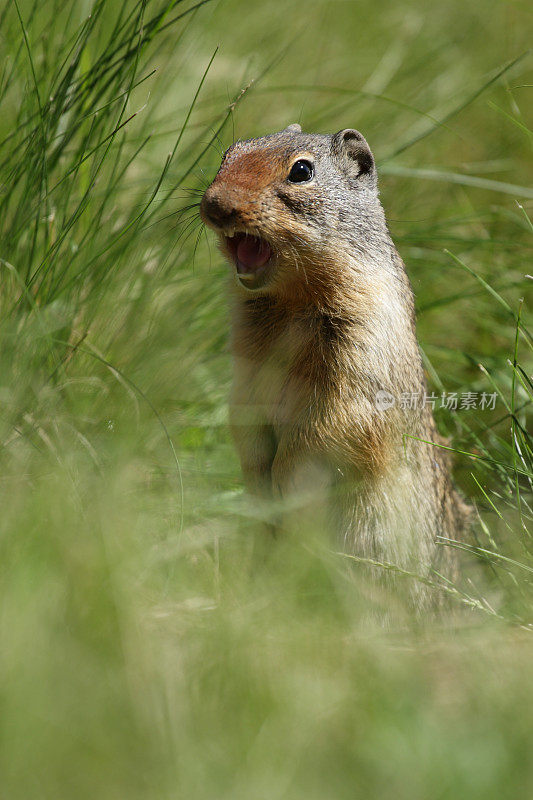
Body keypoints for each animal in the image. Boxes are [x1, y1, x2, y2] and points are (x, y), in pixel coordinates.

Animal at [201, 122, 470, 592]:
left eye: (302, 171)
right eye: (229, 153)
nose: (214, 206)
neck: (289, 302)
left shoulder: (360, 363)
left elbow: (327, 431)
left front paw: (283, 483)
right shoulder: (247, 374)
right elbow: (245, 420)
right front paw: (259, 482)